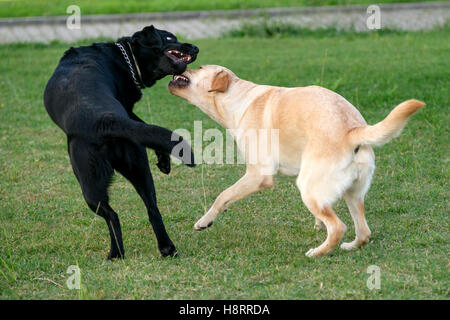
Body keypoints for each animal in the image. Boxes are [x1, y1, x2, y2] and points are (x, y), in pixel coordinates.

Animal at [44, 25, 199, 260]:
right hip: (137, 167)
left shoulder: (127, 107)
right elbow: (145, 125)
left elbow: (141, 120)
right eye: (170, 37)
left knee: (112, 216)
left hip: (88, 181)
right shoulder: (129, 113)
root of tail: (105, 121)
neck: (125, 57)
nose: (196, 48)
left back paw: (116, 253)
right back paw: (166, 248)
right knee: (152, 208)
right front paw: (163, 160)